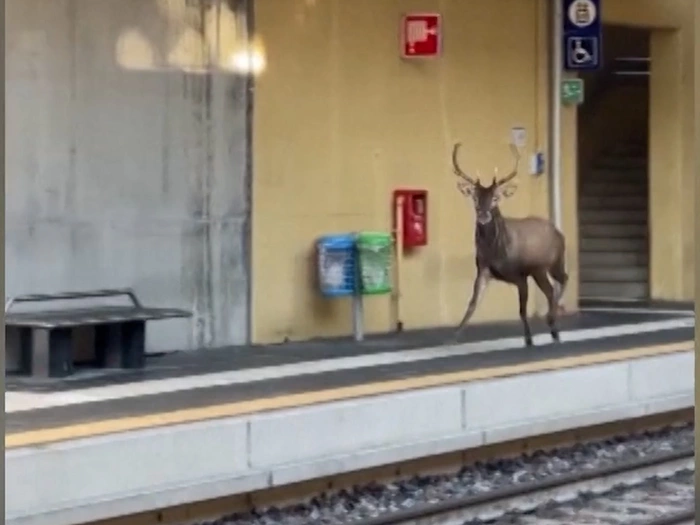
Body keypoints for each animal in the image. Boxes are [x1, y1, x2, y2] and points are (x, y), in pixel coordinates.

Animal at [451, 142, 569, 347]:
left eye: (496, 198)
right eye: (475, 197)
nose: (483, 215)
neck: (497, 252)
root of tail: (557, 231)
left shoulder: (521, 274)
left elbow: (522, 310)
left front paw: (529, 339)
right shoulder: (483, 270)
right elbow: (472, 303)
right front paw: (454, 337)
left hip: (554, 261)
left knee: (561, 280)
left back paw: (551, 319)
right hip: (539, 271)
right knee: (552, 288)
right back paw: (553, 326)